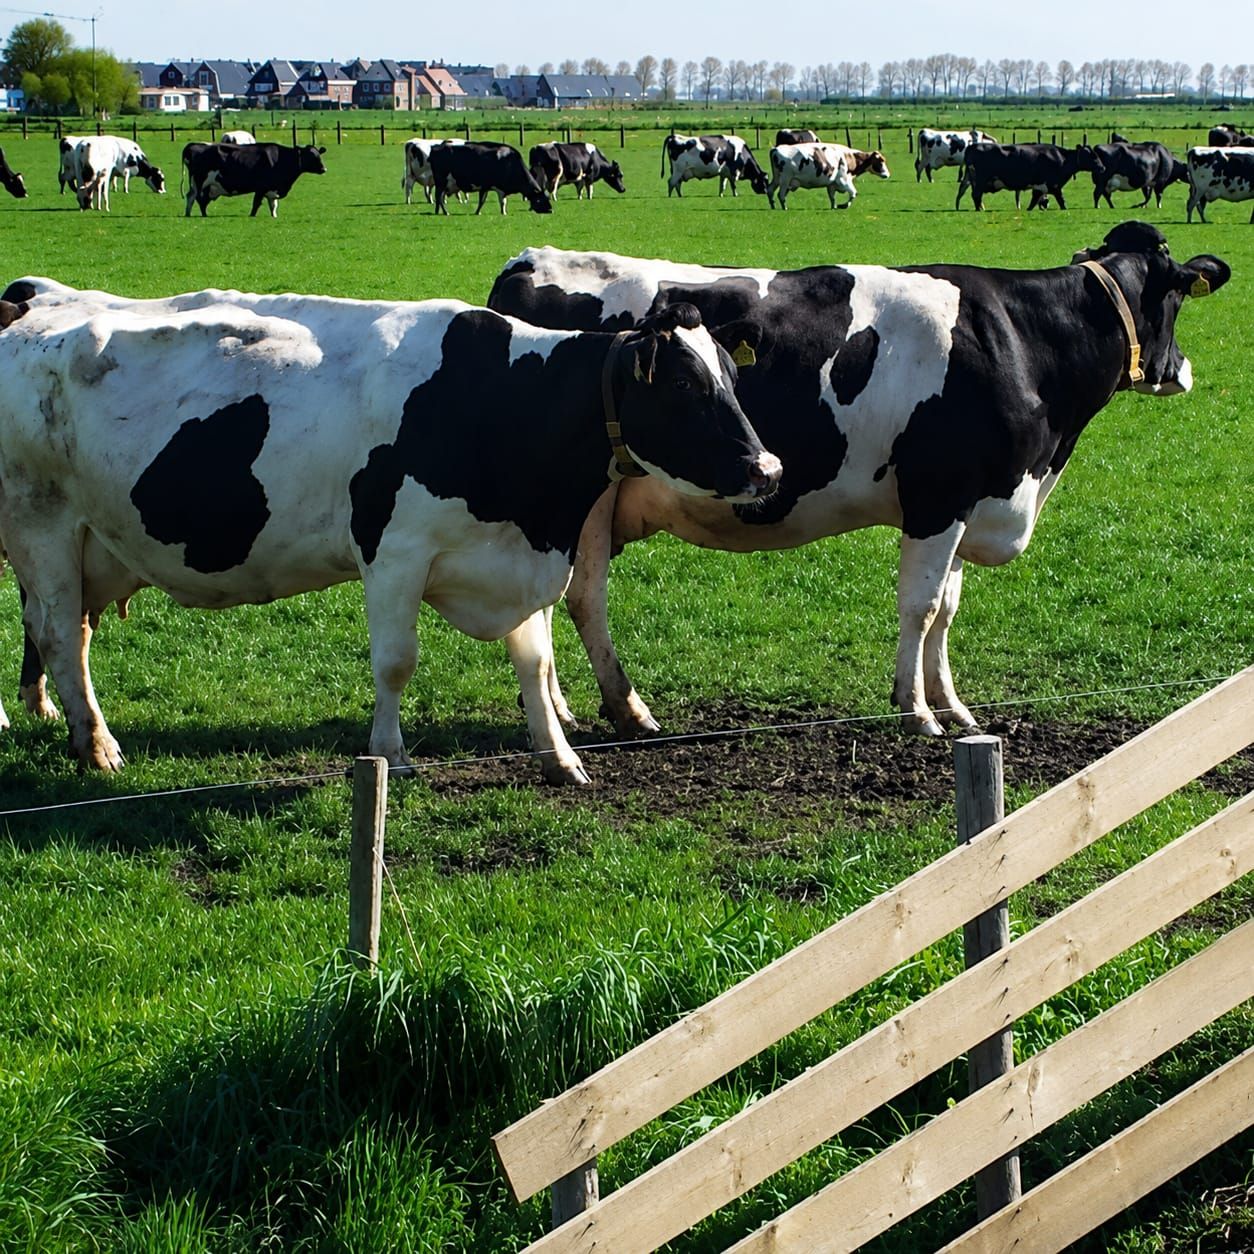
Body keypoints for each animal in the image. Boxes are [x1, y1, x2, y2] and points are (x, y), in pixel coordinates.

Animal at [0, 279, 780, 782]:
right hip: (41, 528)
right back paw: (96, 746)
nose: (768, 468)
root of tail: (24, 314)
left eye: (731, 378)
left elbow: (535, 662)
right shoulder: (394, 553)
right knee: (59, 635)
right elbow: (396, 663)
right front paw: (392, 755)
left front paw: (559, 755)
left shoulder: (517, 556)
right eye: (681, 385)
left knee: (68, 632)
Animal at [182, 141, 327, 217]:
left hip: (197, 184)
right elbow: (256, 204)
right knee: (199, 199)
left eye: (319, 155)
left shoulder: (272, 189)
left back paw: (188, 214)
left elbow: (273, 205)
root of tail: (193, 145)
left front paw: (274, 217)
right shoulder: (261, 188)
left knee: (191, 197)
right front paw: (252, 216)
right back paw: (204, 215)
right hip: (201, 182)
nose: (324, 169)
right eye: (311, 156)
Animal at [487, 226, 1229, 739]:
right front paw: (916, 711)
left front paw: (953, 704)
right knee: (581, 597)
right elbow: (921, 607)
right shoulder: (938, 496)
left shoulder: (967, 502)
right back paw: (625, 709)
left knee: (548, 604)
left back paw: (563, 710)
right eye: (1174, 299)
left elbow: (947, 609)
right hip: (586, 501)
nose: (1184, 371)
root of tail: (529, 259)